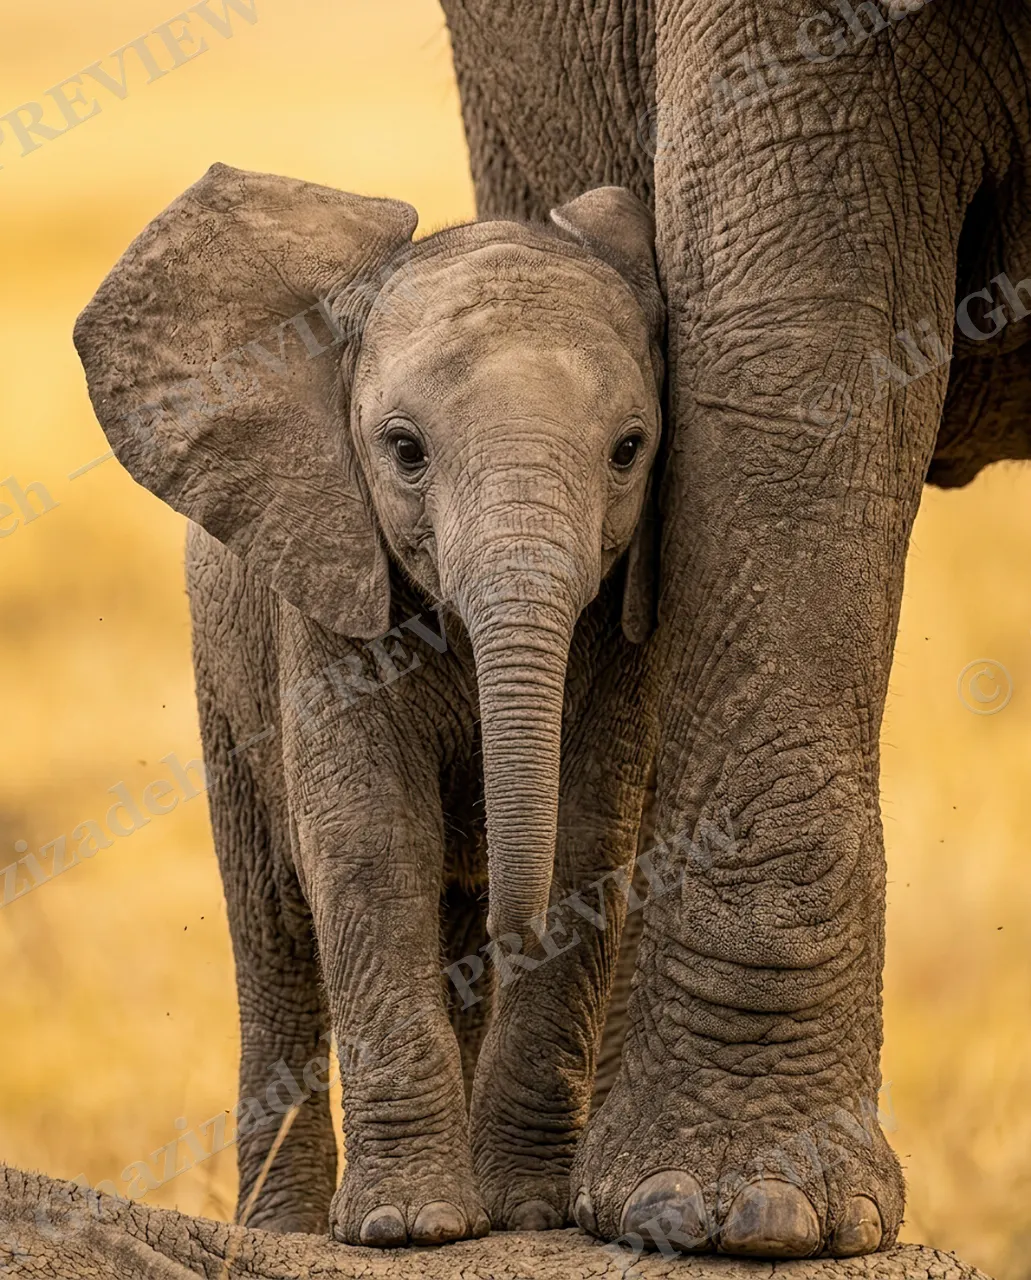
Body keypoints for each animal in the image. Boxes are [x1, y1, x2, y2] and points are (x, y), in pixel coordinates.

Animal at [73, 164, 667, 1247]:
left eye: (629, 450)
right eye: (402, 449)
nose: (517, 926)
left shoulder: (621, 619)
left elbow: (590, 833)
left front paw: (523, 1209)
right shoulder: (326, 583)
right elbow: (368, 841)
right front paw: (409, 1227)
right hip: (221, 678)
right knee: (271, 925)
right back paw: (281, 1230)